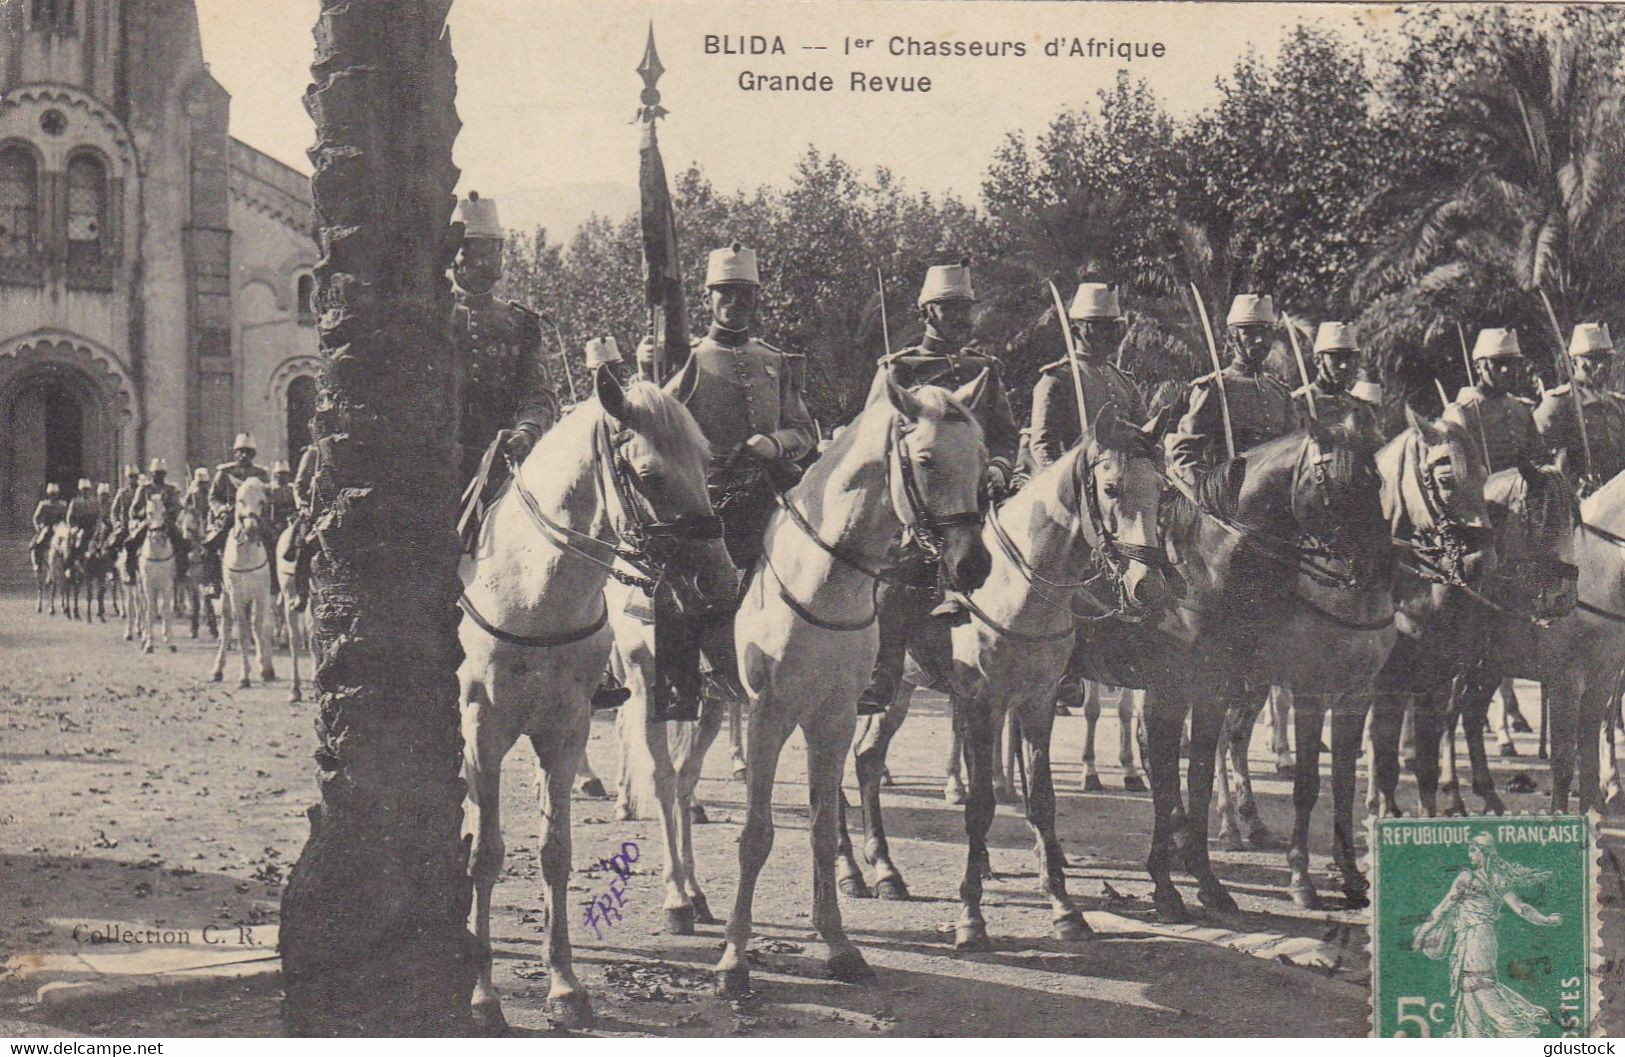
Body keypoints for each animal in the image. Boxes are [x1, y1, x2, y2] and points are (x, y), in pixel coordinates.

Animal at [136, 494, 177, 650]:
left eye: (164, 512)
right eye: (149, 513)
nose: (158, 534)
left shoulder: (167, 584)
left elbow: (165, 610)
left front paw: (170, 642)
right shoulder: (147, 584)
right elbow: (150, 611)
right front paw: (149, 643)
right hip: (140, 586)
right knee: (143, 607)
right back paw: (143, 634)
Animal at [211, 474, 274, 686]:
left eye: (262, 501)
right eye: (240, 500)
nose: (251, 529)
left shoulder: (262, 594)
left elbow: (260, 627)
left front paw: (265, 668)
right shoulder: (236, 596)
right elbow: (243, 631)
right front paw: (245, 675)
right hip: (225, 595)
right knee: (227, 626)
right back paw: (218, 669)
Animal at [458, 365, 737, 1027]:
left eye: (706, 463)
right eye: (650, 474)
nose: (722, 581)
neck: (531, 594)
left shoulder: (565, 731)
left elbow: (554, 851)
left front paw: (564, 984)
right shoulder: (483, 731)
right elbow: (487, 853)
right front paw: (483, 994)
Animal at [715, 377, 988, 995]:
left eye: (982, 459)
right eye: (926, 459)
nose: (973, 566)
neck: (823, 578)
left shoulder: (834, 715)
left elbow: (820, 825)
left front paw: (839, 944)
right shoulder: (770, 715)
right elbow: (756, 834)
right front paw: (734, 959)